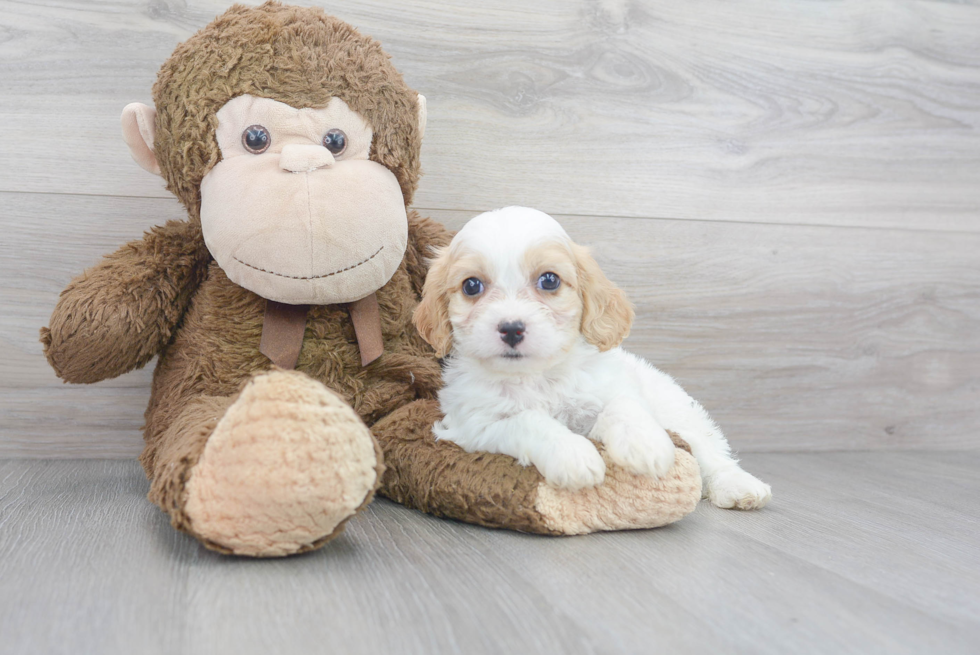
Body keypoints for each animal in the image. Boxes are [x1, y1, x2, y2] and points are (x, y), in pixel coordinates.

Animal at [414, 208, 772, 510]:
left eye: (549, 280)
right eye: (471, 286)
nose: (512, 328)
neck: (537, 376)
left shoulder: (610, 388)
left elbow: (623, 406)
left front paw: (645, 444)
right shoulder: (475, 424)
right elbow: (528, 421)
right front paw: (572, 455)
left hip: (679, 414)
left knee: (710, 452)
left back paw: (739, 486)